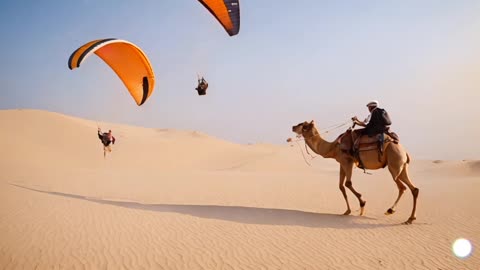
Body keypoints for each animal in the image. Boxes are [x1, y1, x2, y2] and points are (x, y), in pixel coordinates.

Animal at [290, 120, 418, 224]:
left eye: (303, 125)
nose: (293, 126)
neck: (333, 148)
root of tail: (404, 151)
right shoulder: (341, 163)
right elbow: (341, 186)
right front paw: (347, 211)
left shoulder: (348, 161)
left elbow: (348, 183)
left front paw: (362, 205)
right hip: (402, 167)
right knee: (414, 189)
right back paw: (410, 218)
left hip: (394, 164)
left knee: (402, 187)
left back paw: (391, 210)